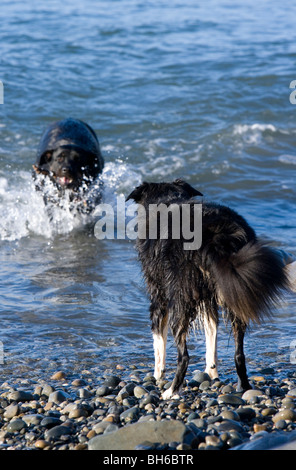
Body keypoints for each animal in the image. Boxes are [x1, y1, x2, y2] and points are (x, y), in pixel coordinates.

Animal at [126, 178, 290, 398]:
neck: (166, 200)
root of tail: (215, 234)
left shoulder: (159, 295)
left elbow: (158, 340)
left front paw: (157, 375)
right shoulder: (209, 298)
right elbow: (211, 331)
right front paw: (211, 373)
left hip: (180, 297)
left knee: (184, 356)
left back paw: (171, 391)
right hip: (235, 293)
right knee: (239, 352)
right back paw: (244, 386)